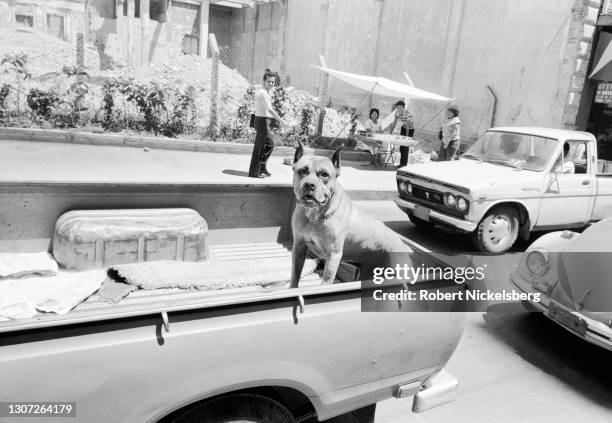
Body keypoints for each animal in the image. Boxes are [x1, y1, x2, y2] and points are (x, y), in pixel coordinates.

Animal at [290, 142, 412, 288]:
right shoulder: (299, 248)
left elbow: (326, 282)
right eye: (302, 171)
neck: (315, 217)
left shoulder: (333, 256)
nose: (309, 184)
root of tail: (401, 243)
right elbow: (295, 276)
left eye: (324, 174)